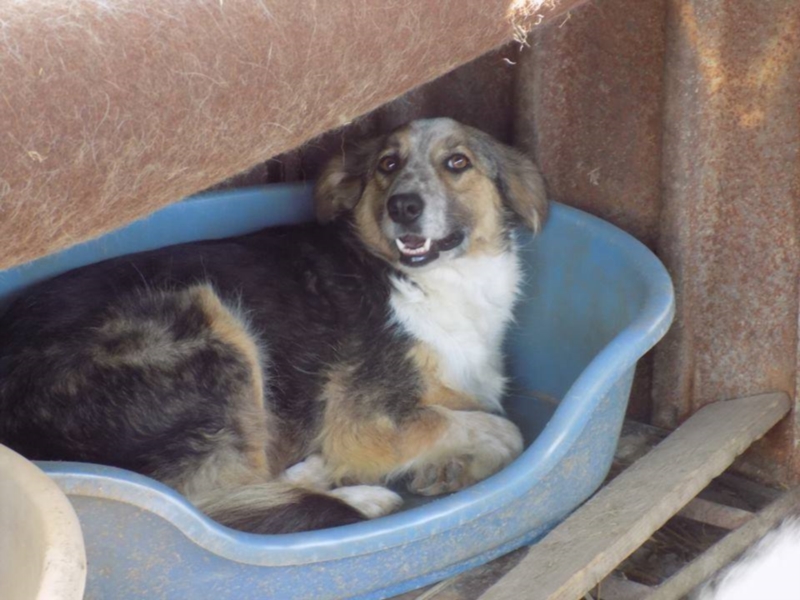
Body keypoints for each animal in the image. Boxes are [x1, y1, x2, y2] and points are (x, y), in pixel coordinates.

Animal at [0, 118, 547, 533]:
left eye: (458, 162)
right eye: (387, 165)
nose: (403, 206)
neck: (426, 280)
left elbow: (475, 412)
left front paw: (448, 467)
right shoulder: (367, 421)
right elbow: (502, 430)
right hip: (210, 326)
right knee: (217, 503)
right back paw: (362, 500)